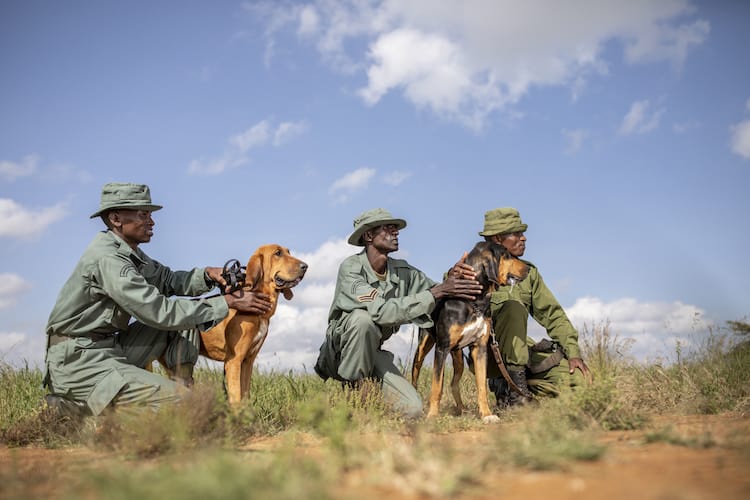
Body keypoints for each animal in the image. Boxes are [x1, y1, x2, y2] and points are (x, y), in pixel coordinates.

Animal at [200, 244, 308, 404]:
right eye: (278, 253)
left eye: (289, 252)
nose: (305, 266)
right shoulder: (234, 361)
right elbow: (237, 398)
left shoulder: (247, 361)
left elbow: (245, 396)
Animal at [412, 242, 528, 422]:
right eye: (506, 255)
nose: (528, 268)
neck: (475, 301)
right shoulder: (442, 348)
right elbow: (436, 386)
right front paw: (432, 415)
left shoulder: (479, 348)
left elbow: (481, 387)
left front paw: (487, 414)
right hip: (422, 347)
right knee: (415, 376)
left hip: (458, 356)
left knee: (453, 383)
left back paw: (462, 409)